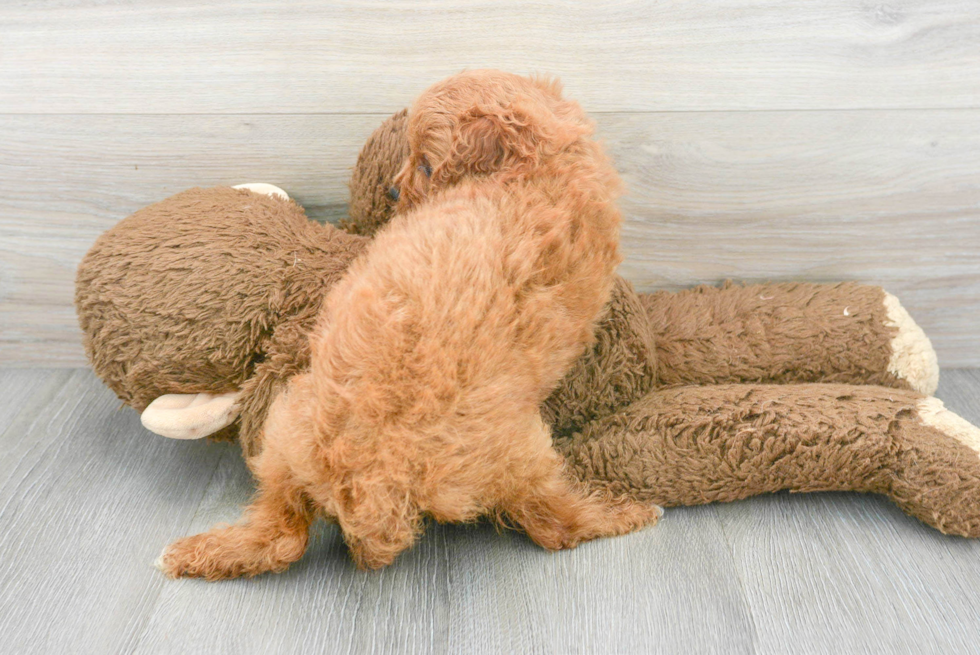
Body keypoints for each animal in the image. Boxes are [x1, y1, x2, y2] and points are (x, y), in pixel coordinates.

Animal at [159, 69, 660, 580]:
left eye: (425, 165)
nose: (395, 193)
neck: (539, 166)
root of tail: (371, 485)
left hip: (303, 425)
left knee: (554, 526)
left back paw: (621, 512)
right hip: (297, 433)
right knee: (282, 535)